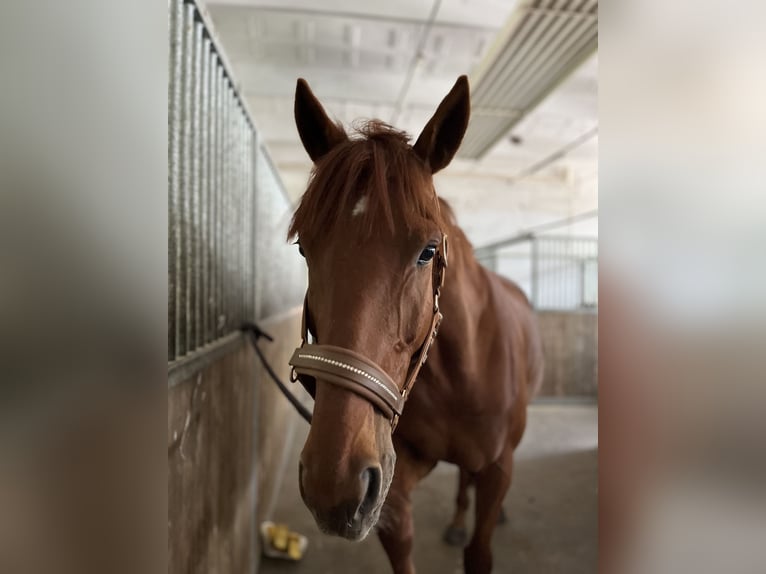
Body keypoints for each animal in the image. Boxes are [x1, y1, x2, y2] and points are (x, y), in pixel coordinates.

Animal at [287, 75, 543, 574]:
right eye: (305, 248)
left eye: (427, 251)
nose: (333, 481)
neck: (456, 375)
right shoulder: (392, 481)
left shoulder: (497, 468)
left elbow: (479, 551)